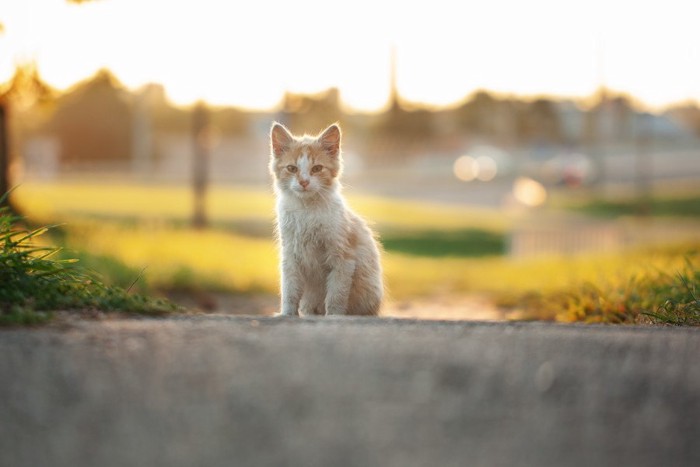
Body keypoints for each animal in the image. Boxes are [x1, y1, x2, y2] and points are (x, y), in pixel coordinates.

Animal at [270, 122, 386, 316]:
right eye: (292, 168)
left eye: (317, 169)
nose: (304, 182)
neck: (307, 211)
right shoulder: (290, 256)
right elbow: (289, 290)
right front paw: (287, 314)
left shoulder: (343, 258)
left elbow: (336, 295)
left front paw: (333, 316)